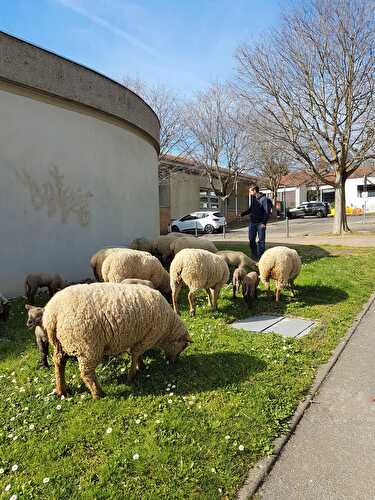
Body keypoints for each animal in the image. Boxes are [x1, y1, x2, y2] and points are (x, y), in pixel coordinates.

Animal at [42, 284, 192, 400]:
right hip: (87, 347)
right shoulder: (147, 338)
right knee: (86, 373)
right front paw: (132, 375)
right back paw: (98, 394)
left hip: (61, 344)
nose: (174, 362)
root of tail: (52, 314)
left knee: (59, 363)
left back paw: (61, 390)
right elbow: (136, 355)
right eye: (183, 346)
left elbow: (138, 355)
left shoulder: (138, 338)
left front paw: (141, 366)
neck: (168, 329)